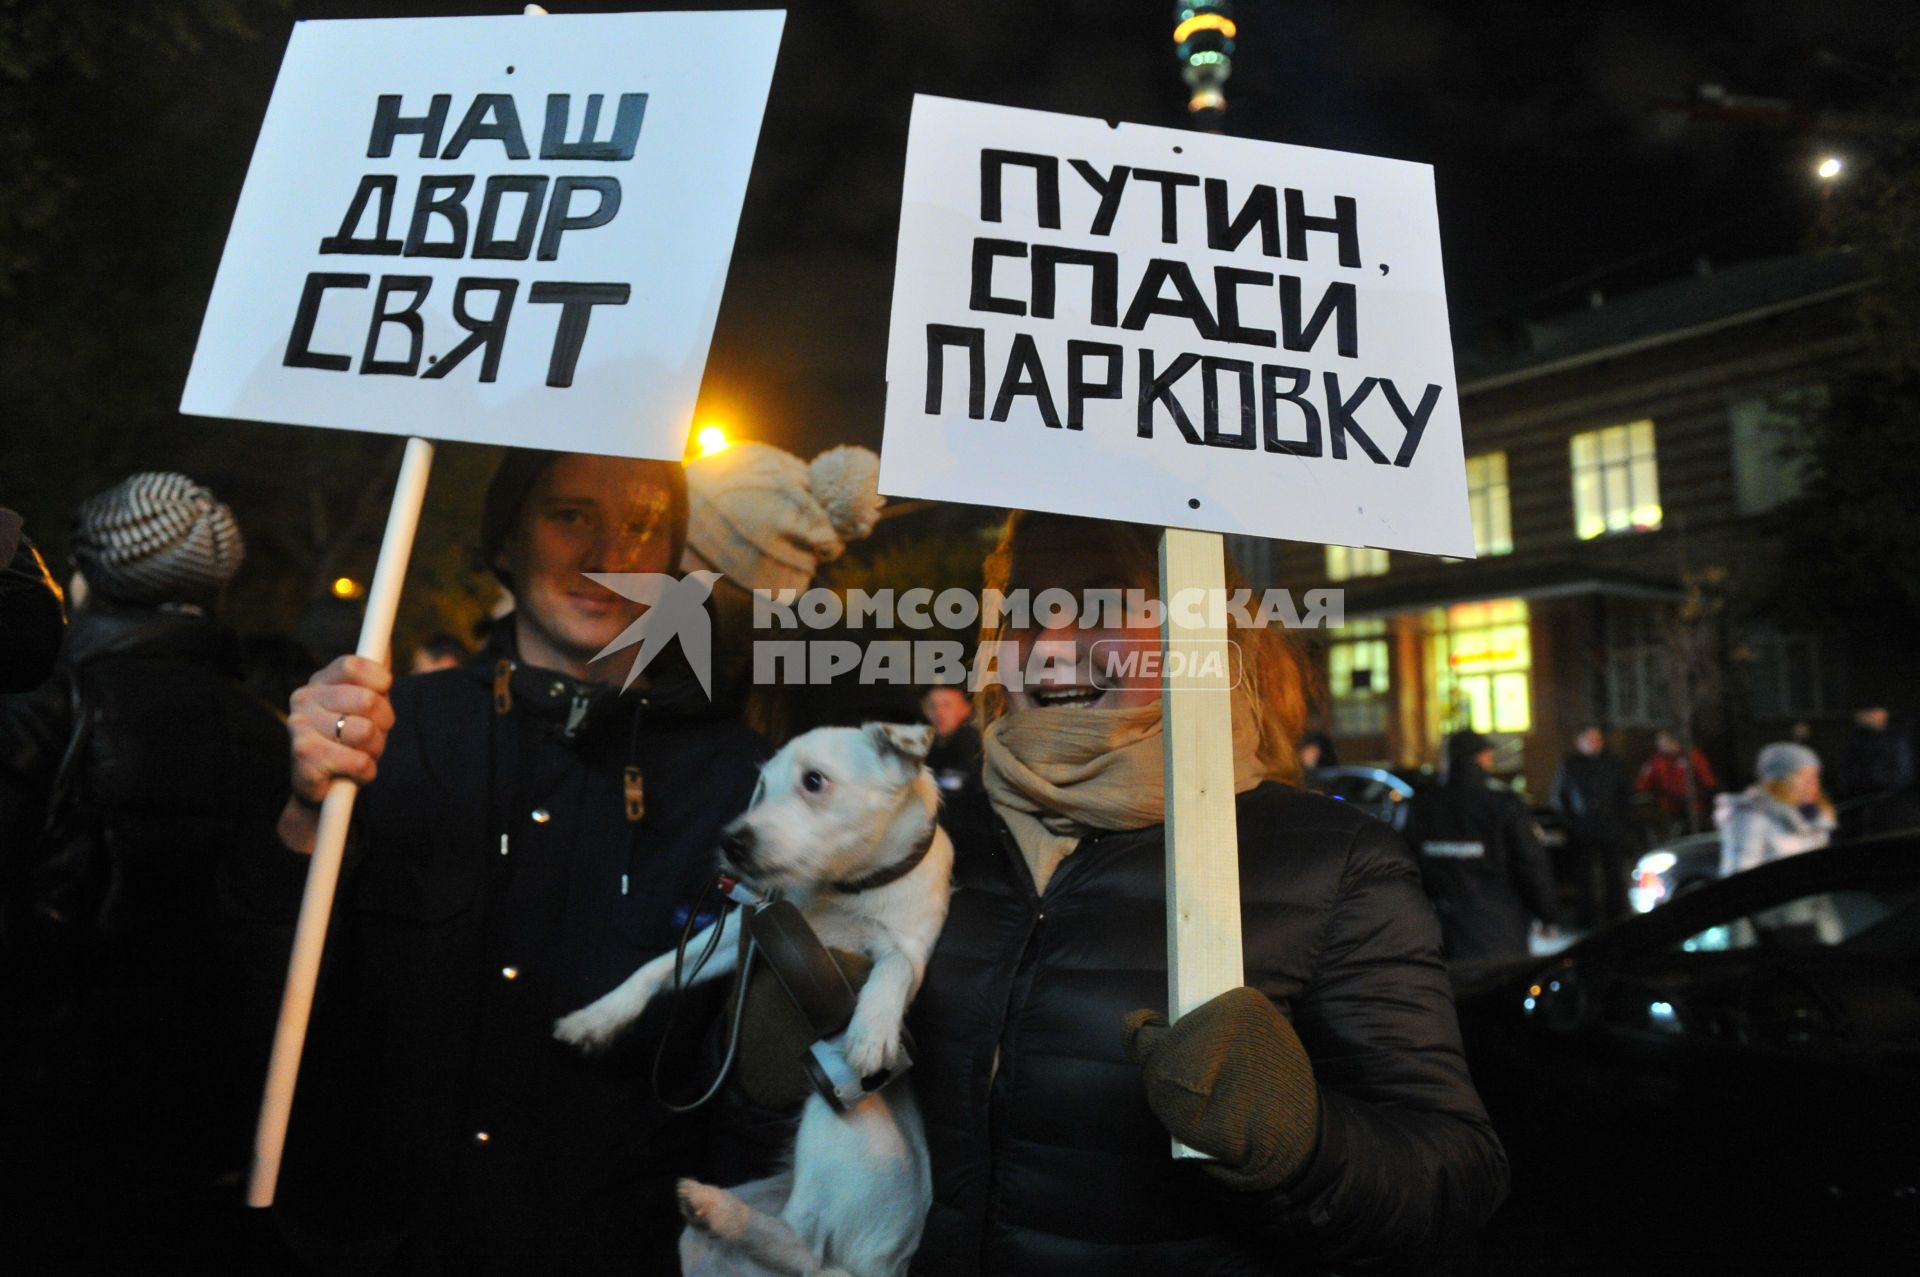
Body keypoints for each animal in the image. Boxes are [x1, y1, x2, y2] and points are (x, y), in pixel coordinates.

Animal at [552, 718, 948, 1275]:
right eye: (762, 785)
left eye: (813, 781)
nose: (730, 843)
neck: (841, 891)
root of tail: (877, 1267)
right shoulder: (748, 928)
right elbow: (656, 969)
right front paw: (597, 1018)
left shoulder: (911, 951)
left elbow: (893, 966)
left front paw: (873, 1029)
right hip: (714, 1239)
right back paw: (718, 1214)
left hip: (839, 1116)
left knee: (806, 1246)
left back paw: (720, 1210)